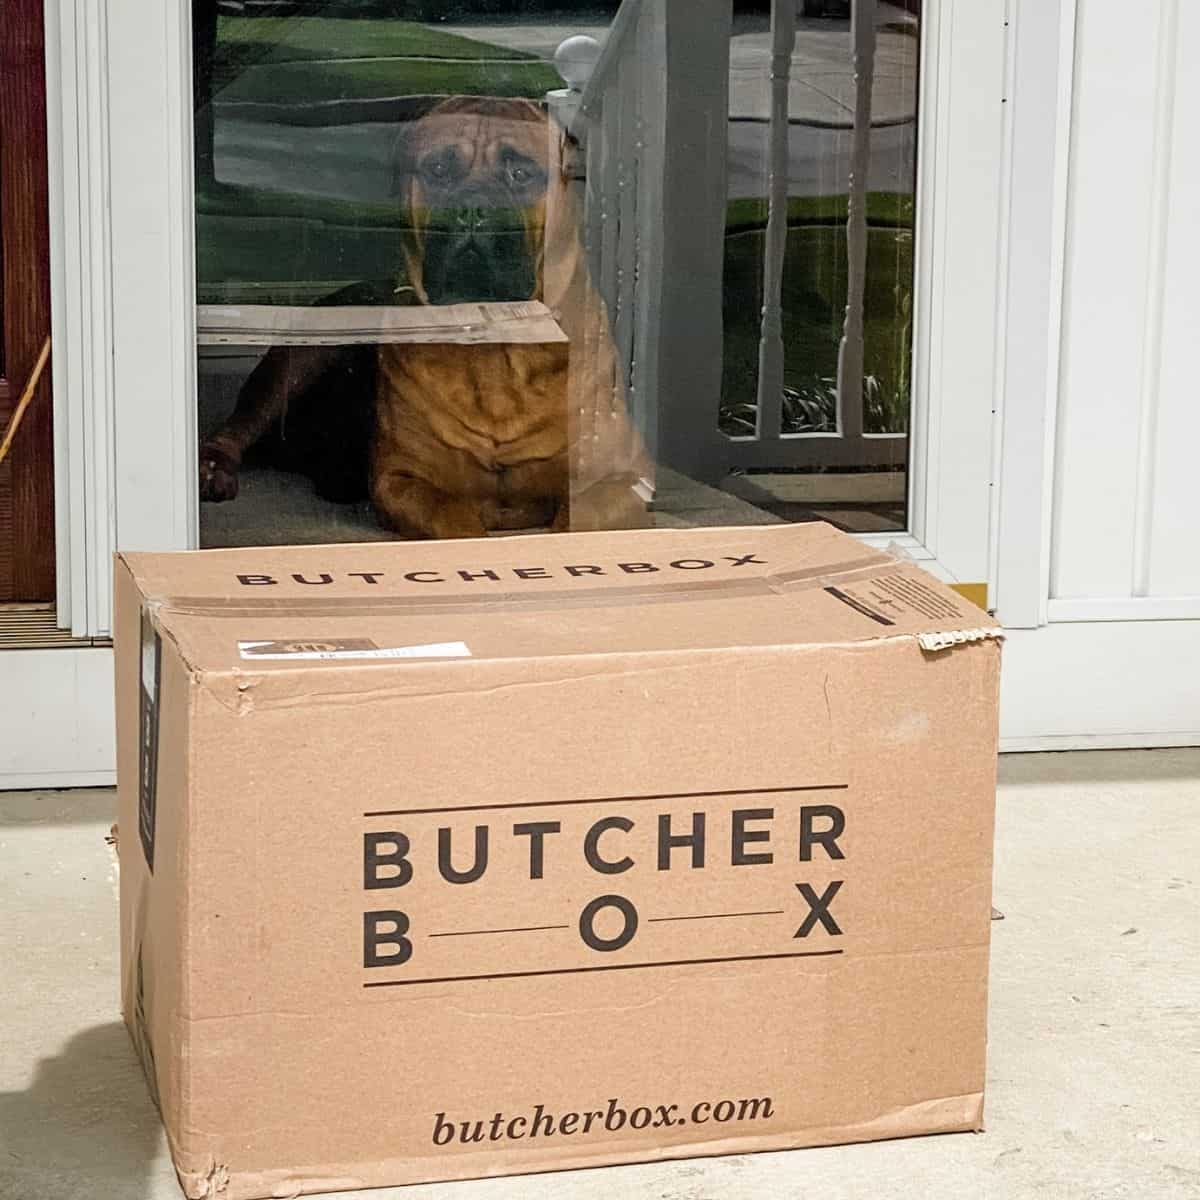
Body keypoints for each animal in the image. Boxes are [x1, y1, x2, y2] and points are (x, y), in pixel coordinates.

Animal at [199, 98, 648, 540]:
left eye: (521, 173)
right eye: (438, 169)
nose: (472, 209)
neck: (494, 344)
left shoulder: (622, 481)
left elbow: (574, 522)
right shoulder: (403, 480)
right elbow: (456, 522)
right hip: (298, 365)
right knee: (236, 429)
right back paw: (214, 470)